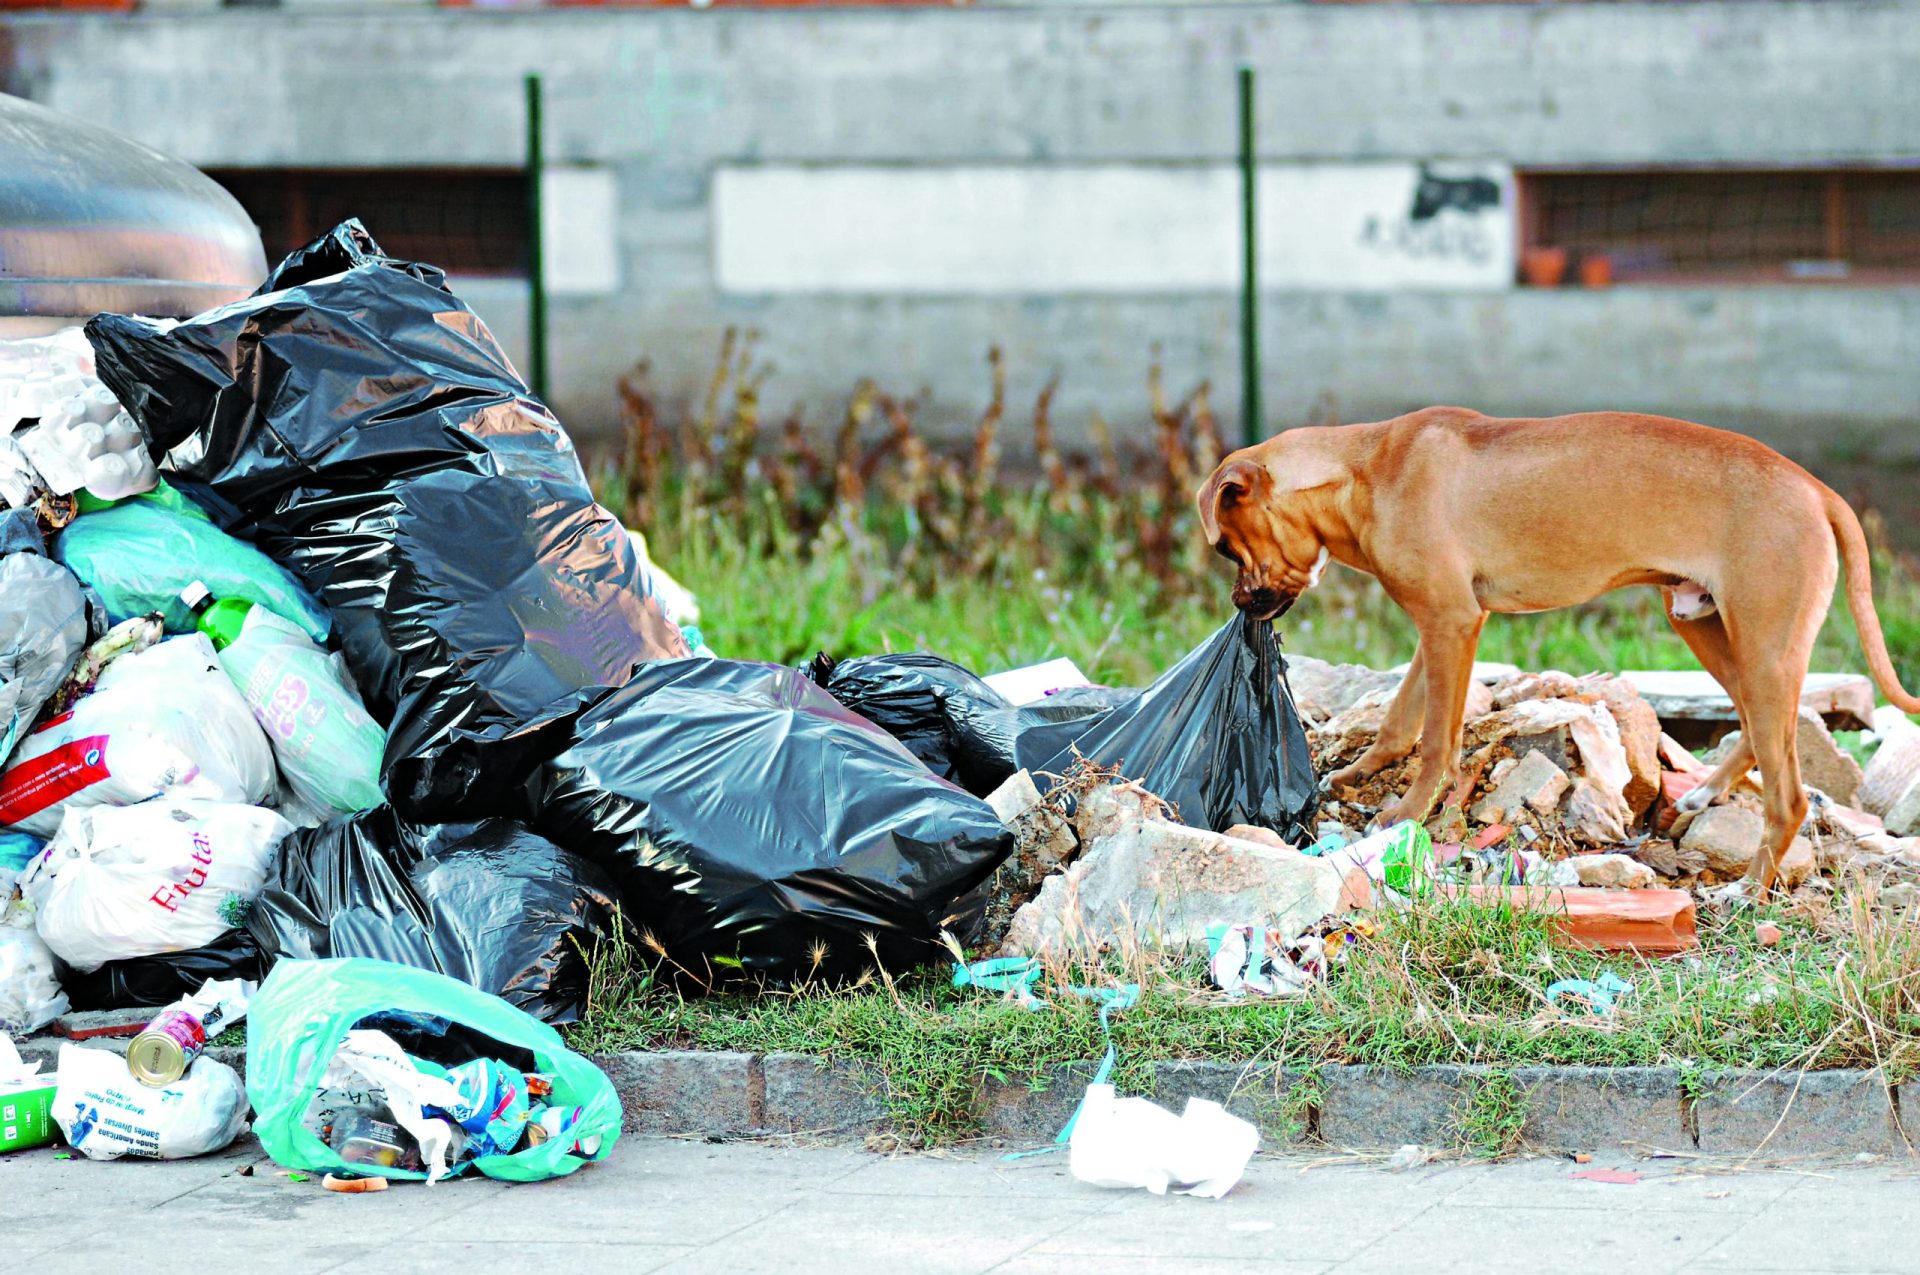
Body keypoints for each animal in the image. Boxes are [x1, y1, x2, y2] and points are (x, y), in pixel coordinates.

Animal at [1198, 408, 1920, 894]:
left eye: (1228, 546)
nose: (1240, 605)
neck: (1367, 470)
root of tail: (1815, 488)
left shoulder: (1451, 622)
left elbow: (1437, 738)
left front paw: (1408, 813)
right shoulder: (1445, 624)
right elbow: (1402, 718)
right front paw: (1358, 773)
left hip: (1762, 646)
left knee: (1789, 791)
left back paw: (1748, 888)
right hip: (1707, 626)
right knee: (1761, 727)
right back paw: (1704, 795)